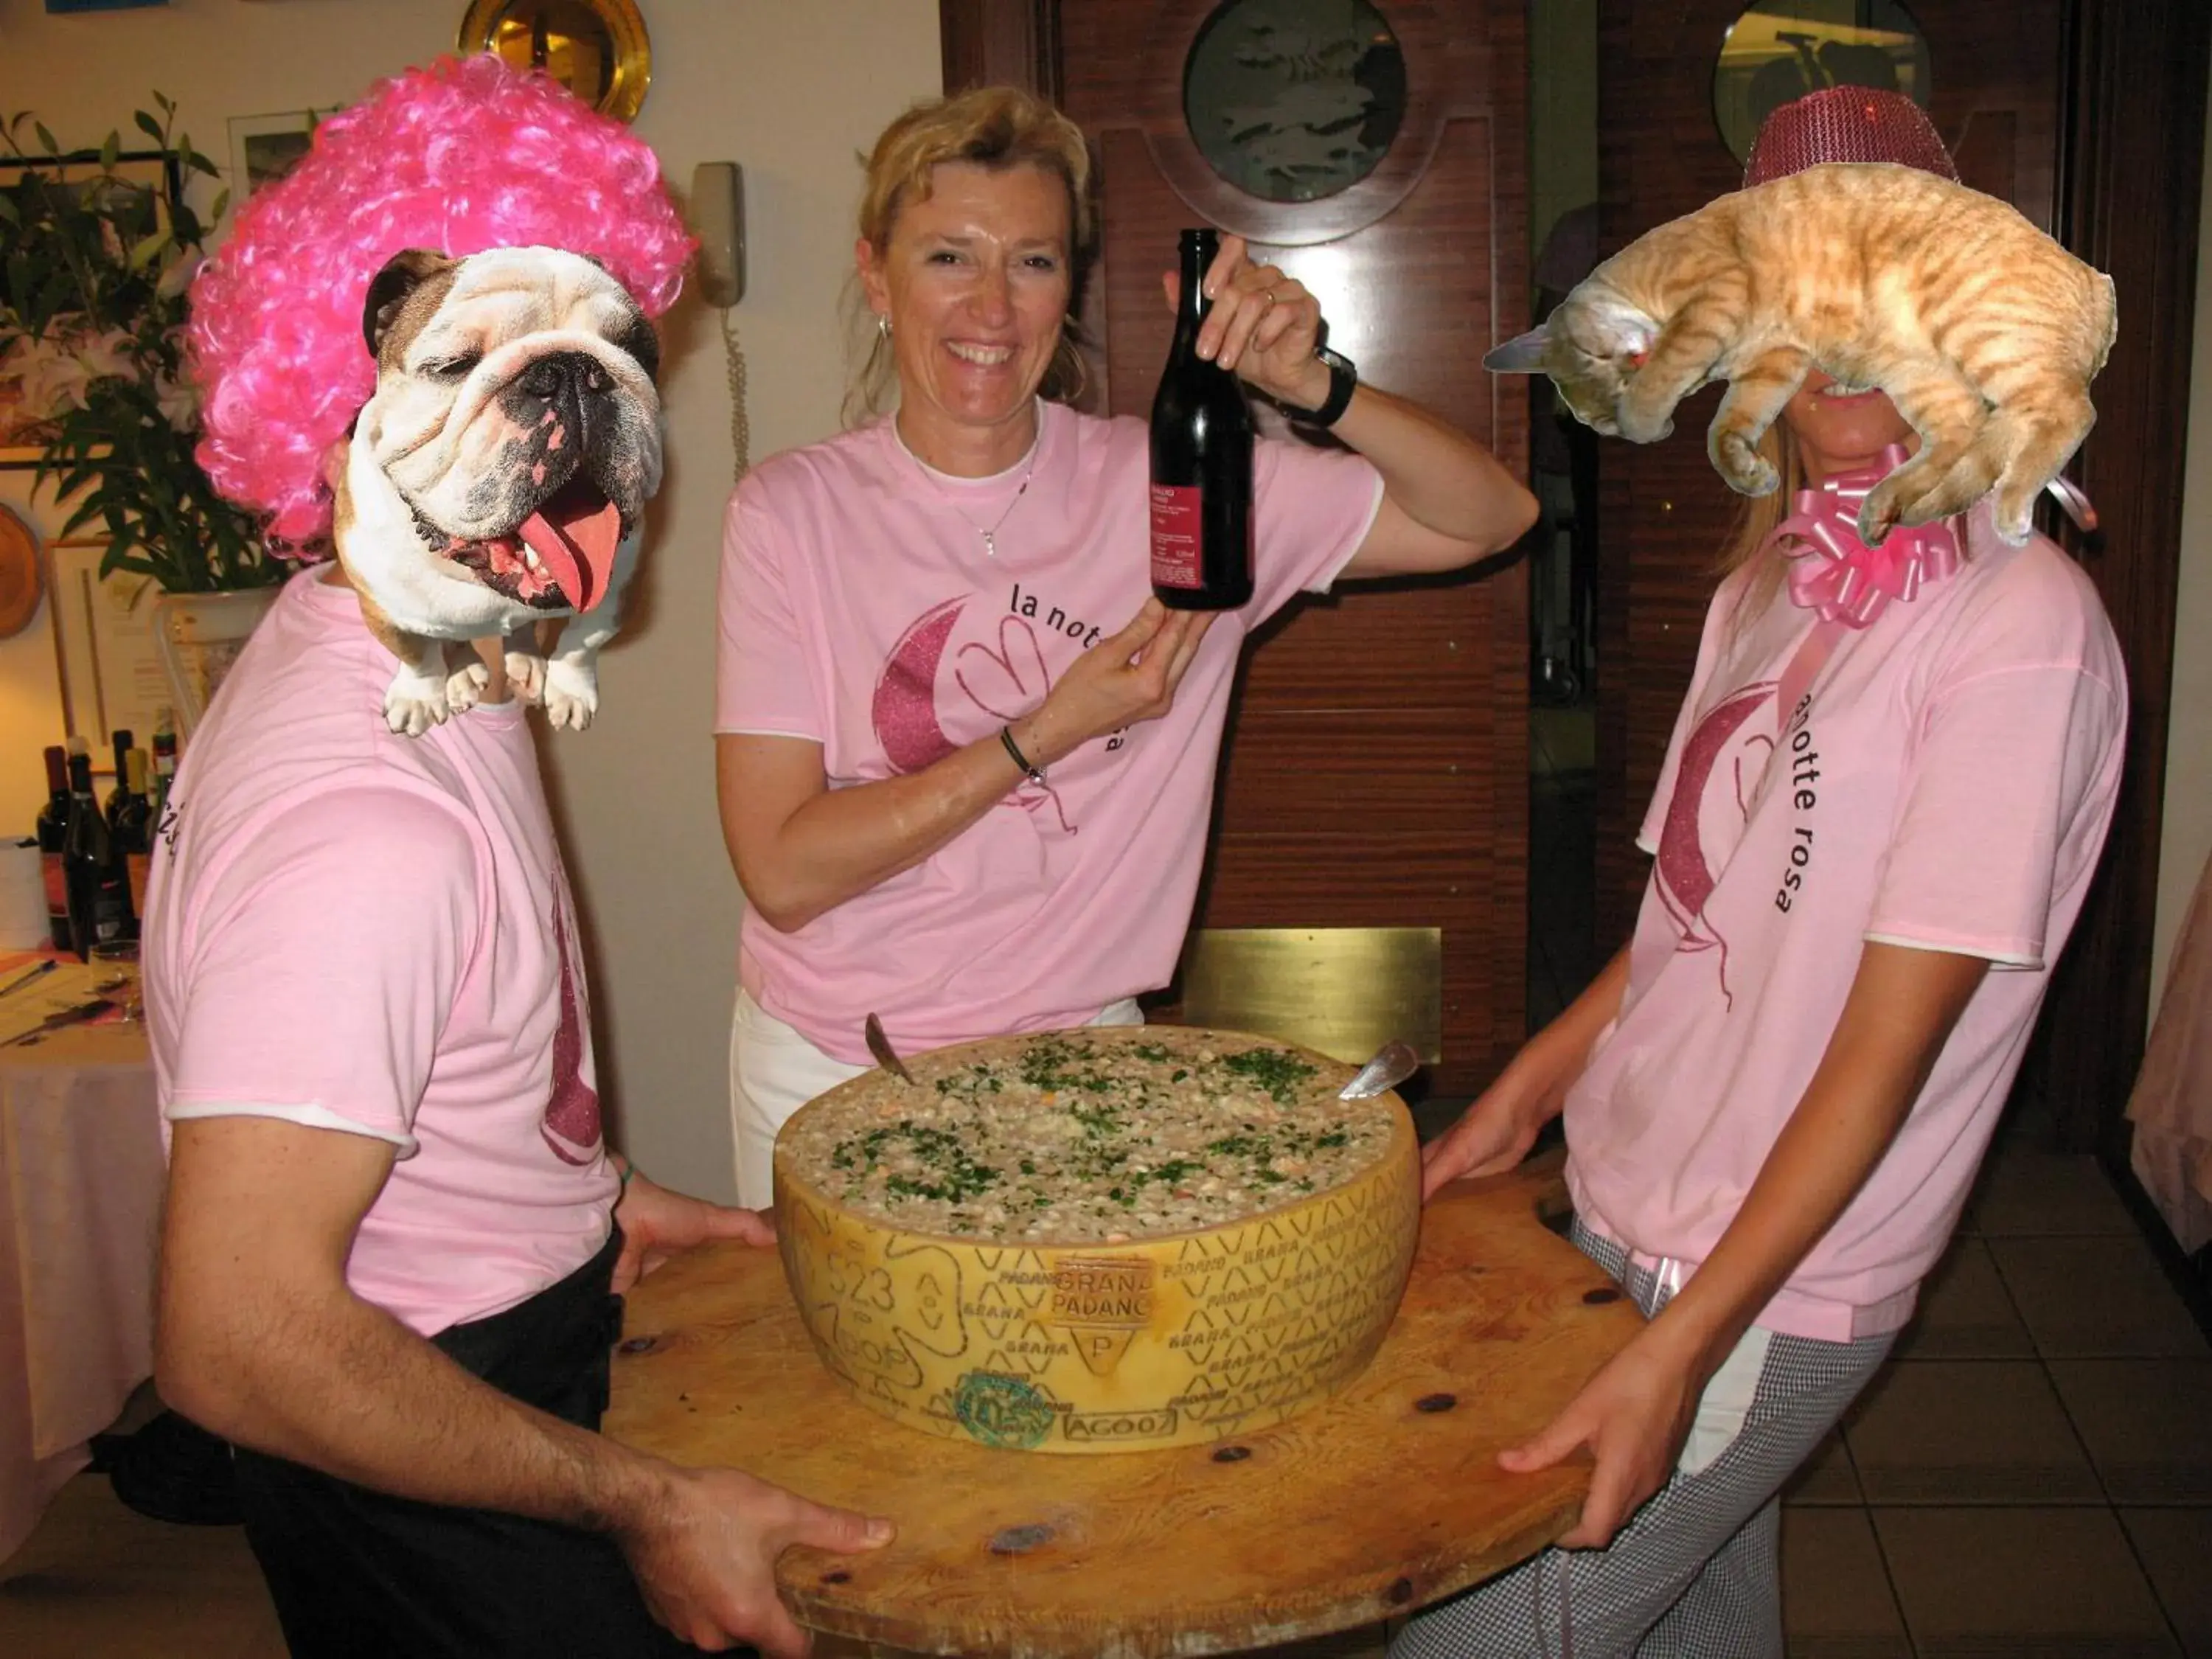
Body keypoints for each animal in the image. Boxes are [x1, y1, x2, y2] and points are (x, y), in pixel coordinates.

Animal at [1495, 161, 2115, 542]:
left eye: (1598, 359)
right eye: (1597, 419)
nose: (1626, 372)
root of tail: (2098, 280)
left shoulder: (1713, 299)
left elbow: (1669, 377)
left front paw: (1646, 417)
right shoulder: (1774, 364)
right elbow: (1724, 430)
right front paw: (1747, 471)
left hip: (1974, 332)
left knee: (2070, 414)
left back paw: (2010, 504)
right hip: (1919, 372)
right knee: (1963, 435)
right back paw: (1891, 502)